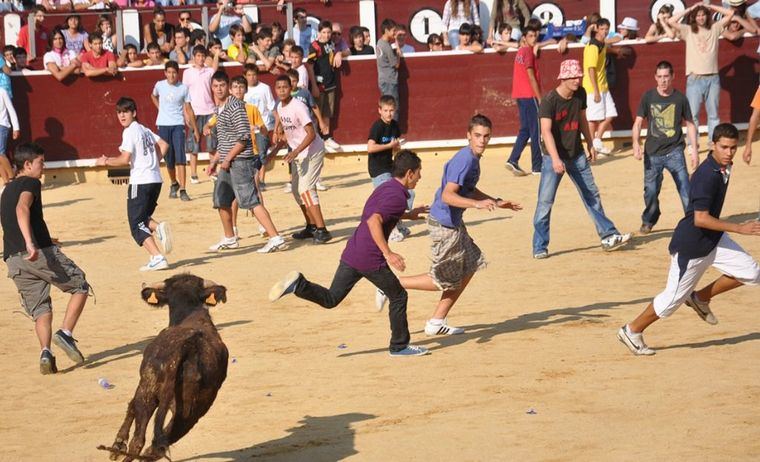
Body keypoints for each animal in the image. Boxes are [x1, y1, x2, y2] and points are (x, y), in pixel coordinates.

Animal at [101, 274, 232, 462]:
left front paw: (117, 445)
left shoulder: (142, 383)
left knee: (139, 440)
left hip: (148, 392)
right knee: (160, 444)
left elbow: (131, 405)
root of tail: (189, 345)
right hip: (192, 410)